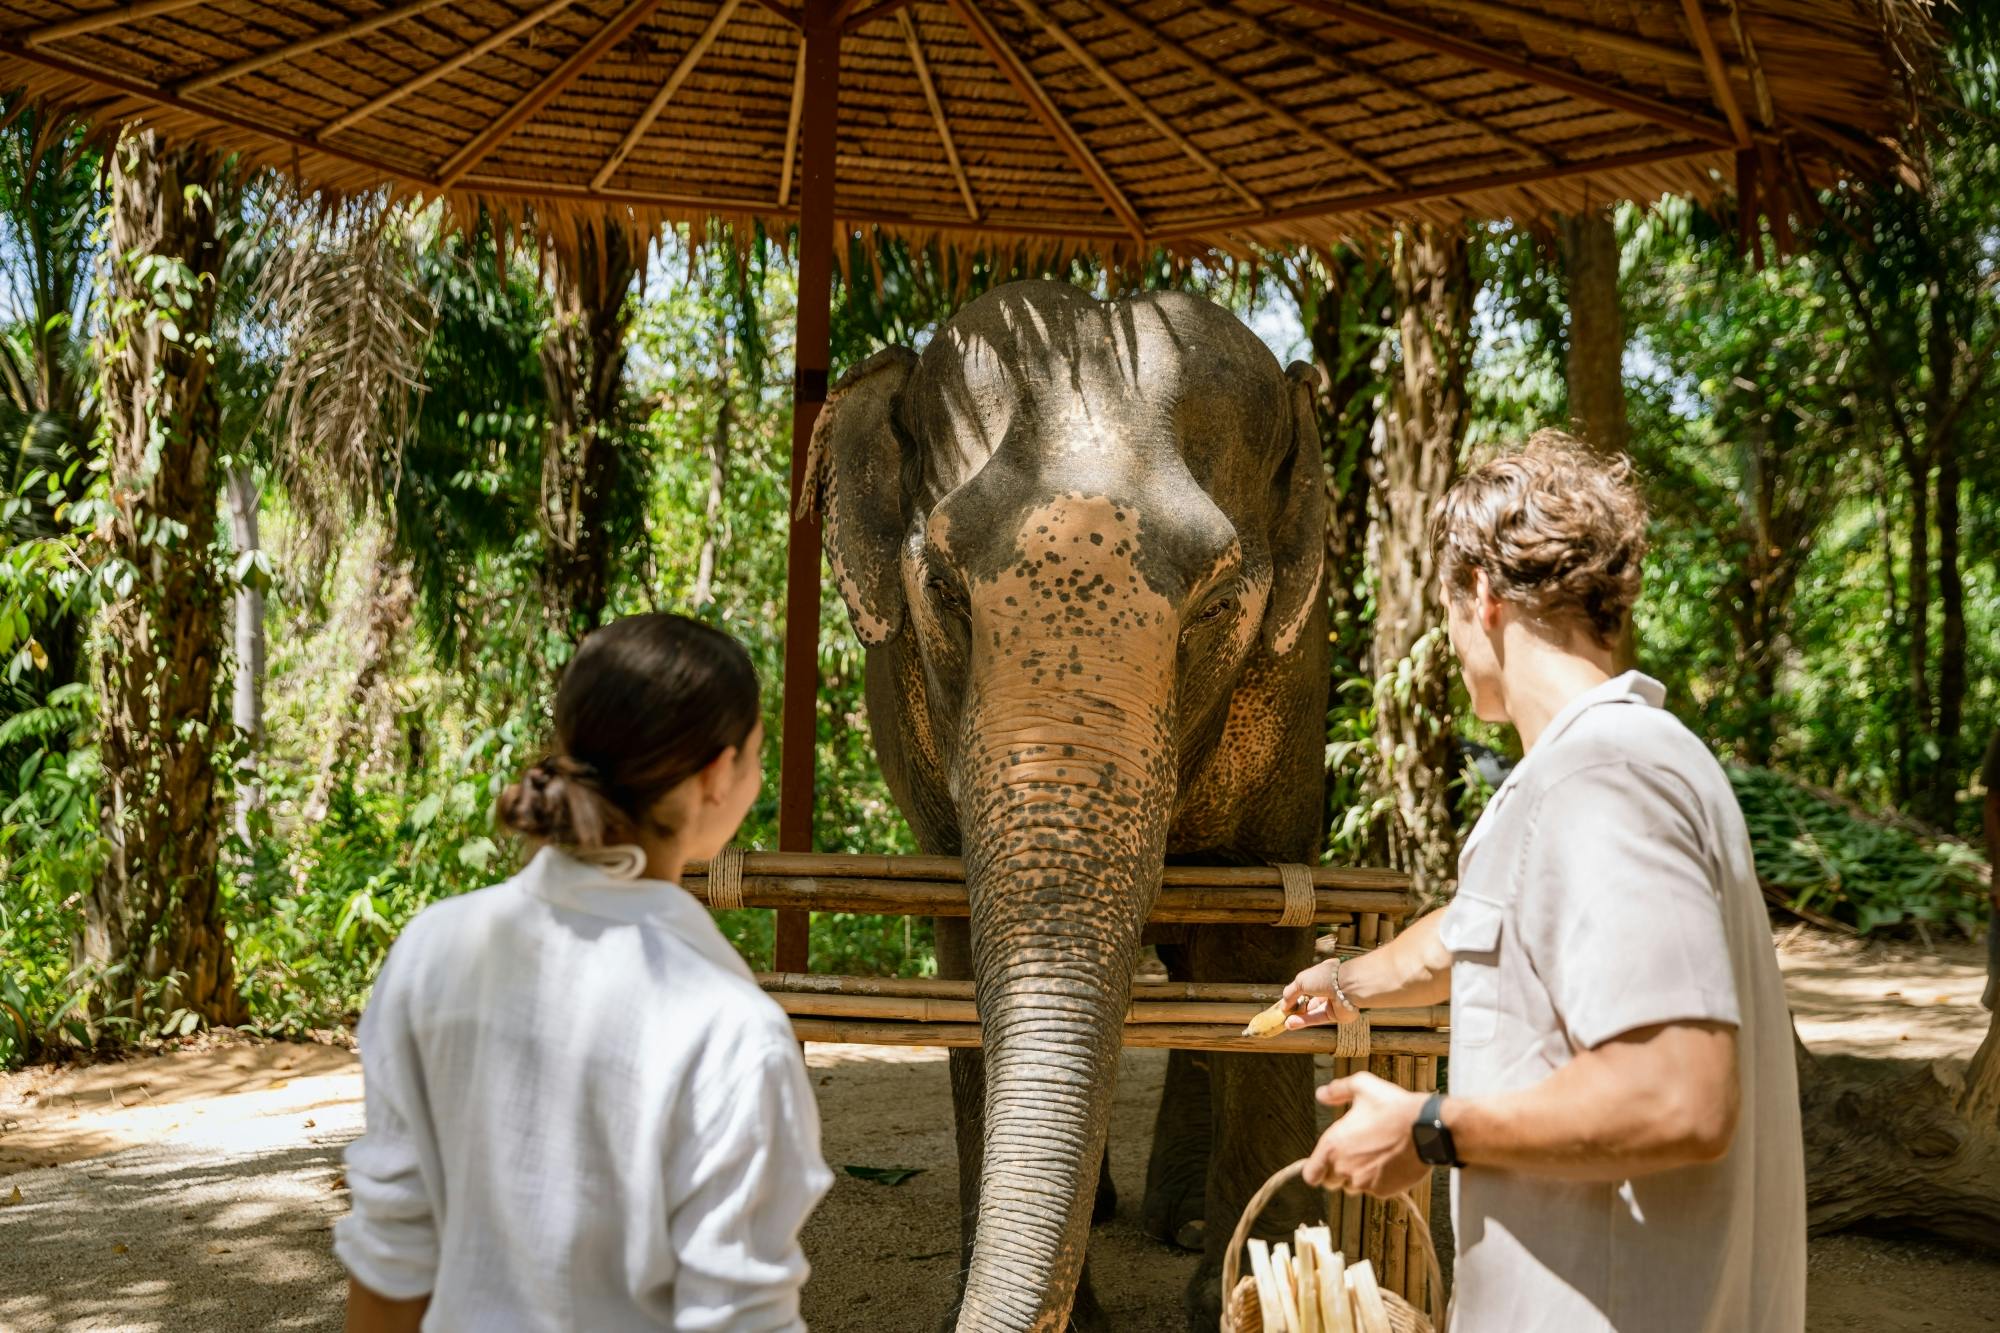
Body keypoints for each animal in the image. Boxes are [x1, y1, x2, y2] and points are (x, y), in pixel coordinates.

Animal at [804, 279, 1330, 1332]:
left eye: (1219, 605)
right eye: (942, 589)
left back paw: (1183, 1228)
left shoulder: (1291, 706)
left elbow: (1257, 951)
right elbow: (961, 958)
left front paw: (1251, 1290)